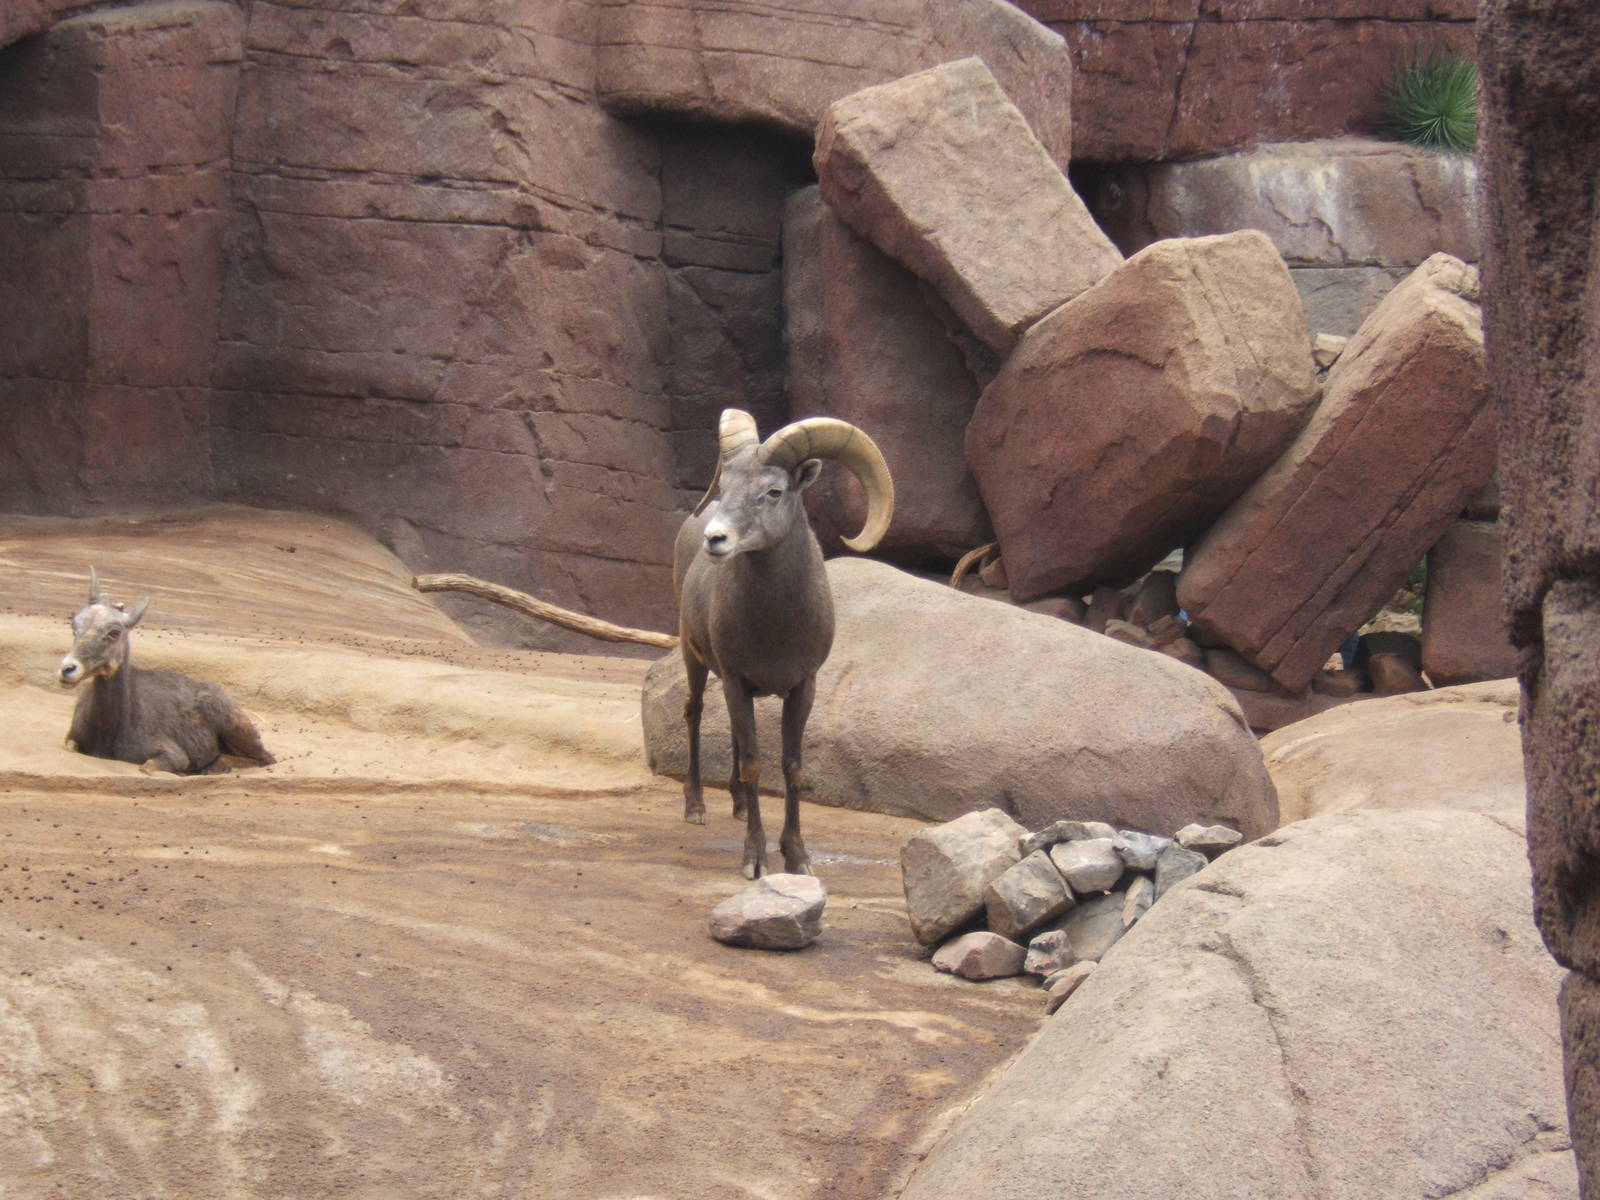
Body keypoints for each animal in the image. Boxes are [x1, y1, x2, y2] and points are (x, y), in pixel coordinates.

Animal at [58, 568, 276, 774]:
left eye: (114, 632)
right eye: (74, 624)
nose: (67, 669)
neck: (108, 732)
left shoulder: (173, 754)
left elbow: (147, 767)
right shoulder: (71, 739)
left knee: (266, 759)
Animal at [674, 408, 894, 878]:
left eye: (773, 492)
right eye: (724, 488)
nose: (715, 539)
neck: (776, 626)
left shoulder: (801, 686)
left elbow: (791, 768)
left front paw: (798, 857)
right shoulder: (737, 681)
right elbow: (755, 764)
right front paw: (755, 859)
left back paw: (738, 805)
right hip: (693, 657)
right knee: (694, 713)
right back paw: (696, 807)